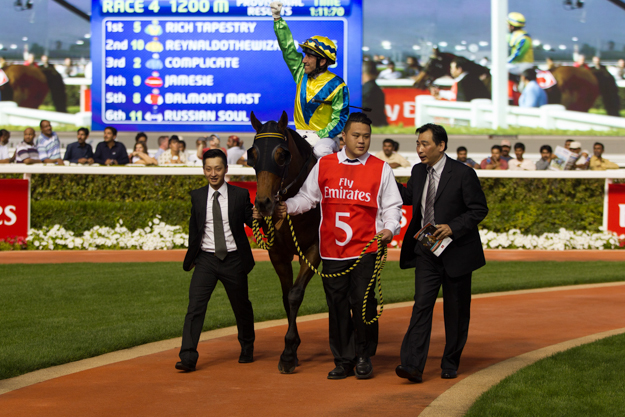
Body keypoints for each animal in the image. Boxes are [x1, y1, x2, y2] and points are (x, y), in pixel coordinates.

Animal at [246, 109, 320, 372]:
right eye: (253, 154)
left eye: (281, 155)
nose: (263, 203)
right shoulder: (278, 253)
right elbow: (286, 296)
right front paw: (291, 349)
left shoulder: (314, 248)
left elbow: (295, 294)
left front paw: (288, 353)